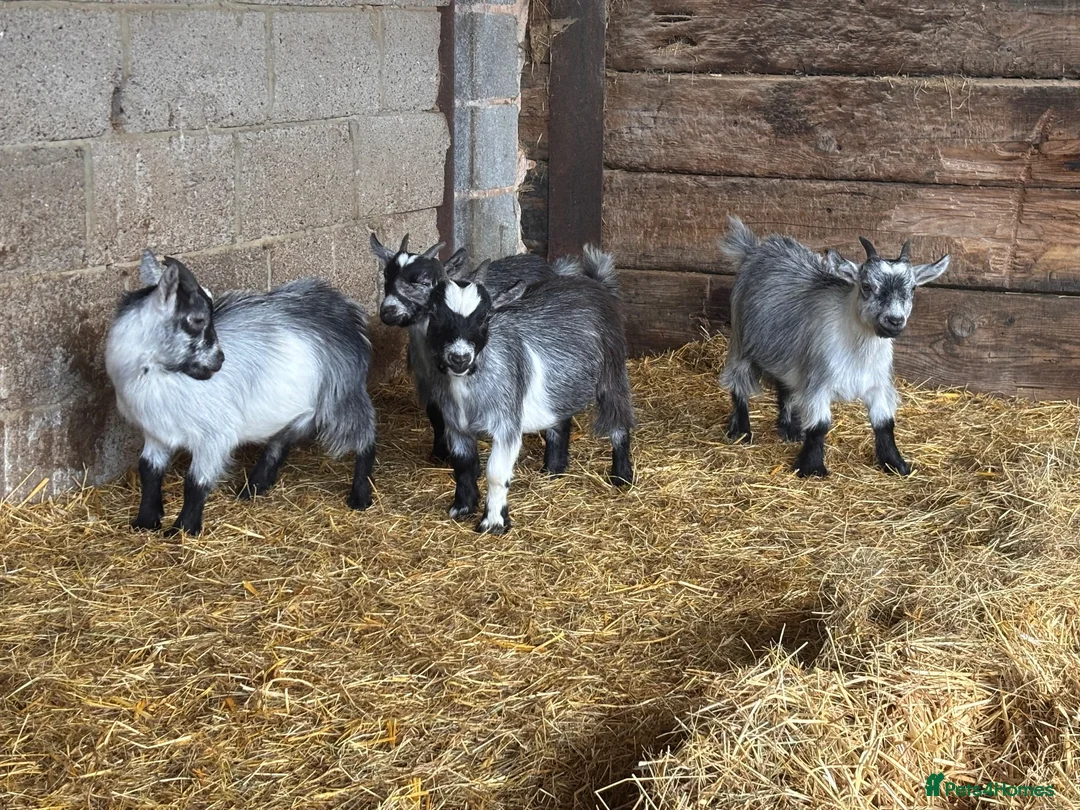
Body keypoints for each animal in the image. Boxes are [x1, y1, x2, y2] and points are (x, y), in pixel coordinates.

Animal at [105, 250, 377, 536]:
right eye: (198, 319)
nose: (220, 360)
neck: (161, 376)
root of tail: (343, 308)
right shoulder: (156, 433)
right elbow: (149, 471)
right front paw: (145, 521)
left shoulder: (215, 436)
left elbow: (195, 482)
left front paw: (183, 529)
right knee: (281, 441)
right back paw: (254, 486)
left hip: (342, 393)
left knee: (365, 436)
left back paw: (360, 495)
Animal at [370, 233, 575, 473]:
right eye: (386, 276)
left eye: (423, 282)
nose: (388, 311)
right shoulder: (428, 384)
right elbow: (437, 416)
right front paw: (439, 454)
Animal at [422, 245, 635, 534]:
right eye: (434, 314)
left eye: (485, 317)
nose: (460, 358)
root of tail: (595, 284)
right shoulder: (456, 427)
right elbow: (463, 465)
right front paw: (462, 508)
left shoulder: (507, 425)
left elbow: (495, 473)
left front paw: (494, 523)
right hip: (560, 386)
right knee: (560, 420)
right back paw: (553, 469)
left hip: (612, 371)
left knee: (619, 422)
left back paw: (621, 476)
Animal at [719, 217, 949, 478]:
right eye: (866, 286)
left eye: (913, 289)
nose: (894, 320)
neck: (858, 351)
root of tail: (754, 250)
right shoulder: (818, 383)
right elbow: (819, 425)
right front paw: (812, 468)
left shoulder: (877, 384)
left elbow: (884, 423)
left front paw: (895, 463)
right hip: (740, 341)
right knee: (738, 384)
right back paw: (741, 432)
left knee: (785, 387)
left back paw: (790, 430)